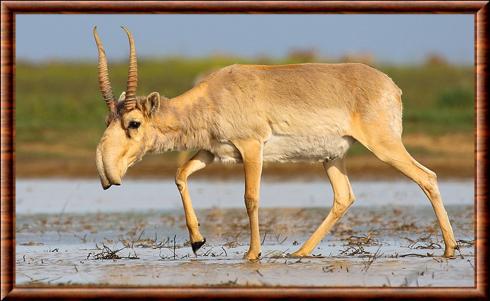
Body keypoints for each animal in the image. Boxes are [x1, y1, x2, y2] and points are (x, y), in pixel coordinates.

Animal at [94, 27, 458, 258]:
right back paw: (300, 252)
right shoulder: (213, 152)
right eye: (108, 120)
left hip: (385, 146)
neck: (213, 95)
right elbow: (180, 175)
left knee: (427, 177)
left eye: (134, 123)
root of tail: (391, 86)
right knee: (344, 196)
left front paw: (252, 254)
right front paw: (198, 241)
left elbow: (251, 198)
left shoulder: (252, 148)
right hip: (332, 157)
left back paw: (450, 248)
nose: (106, 173)